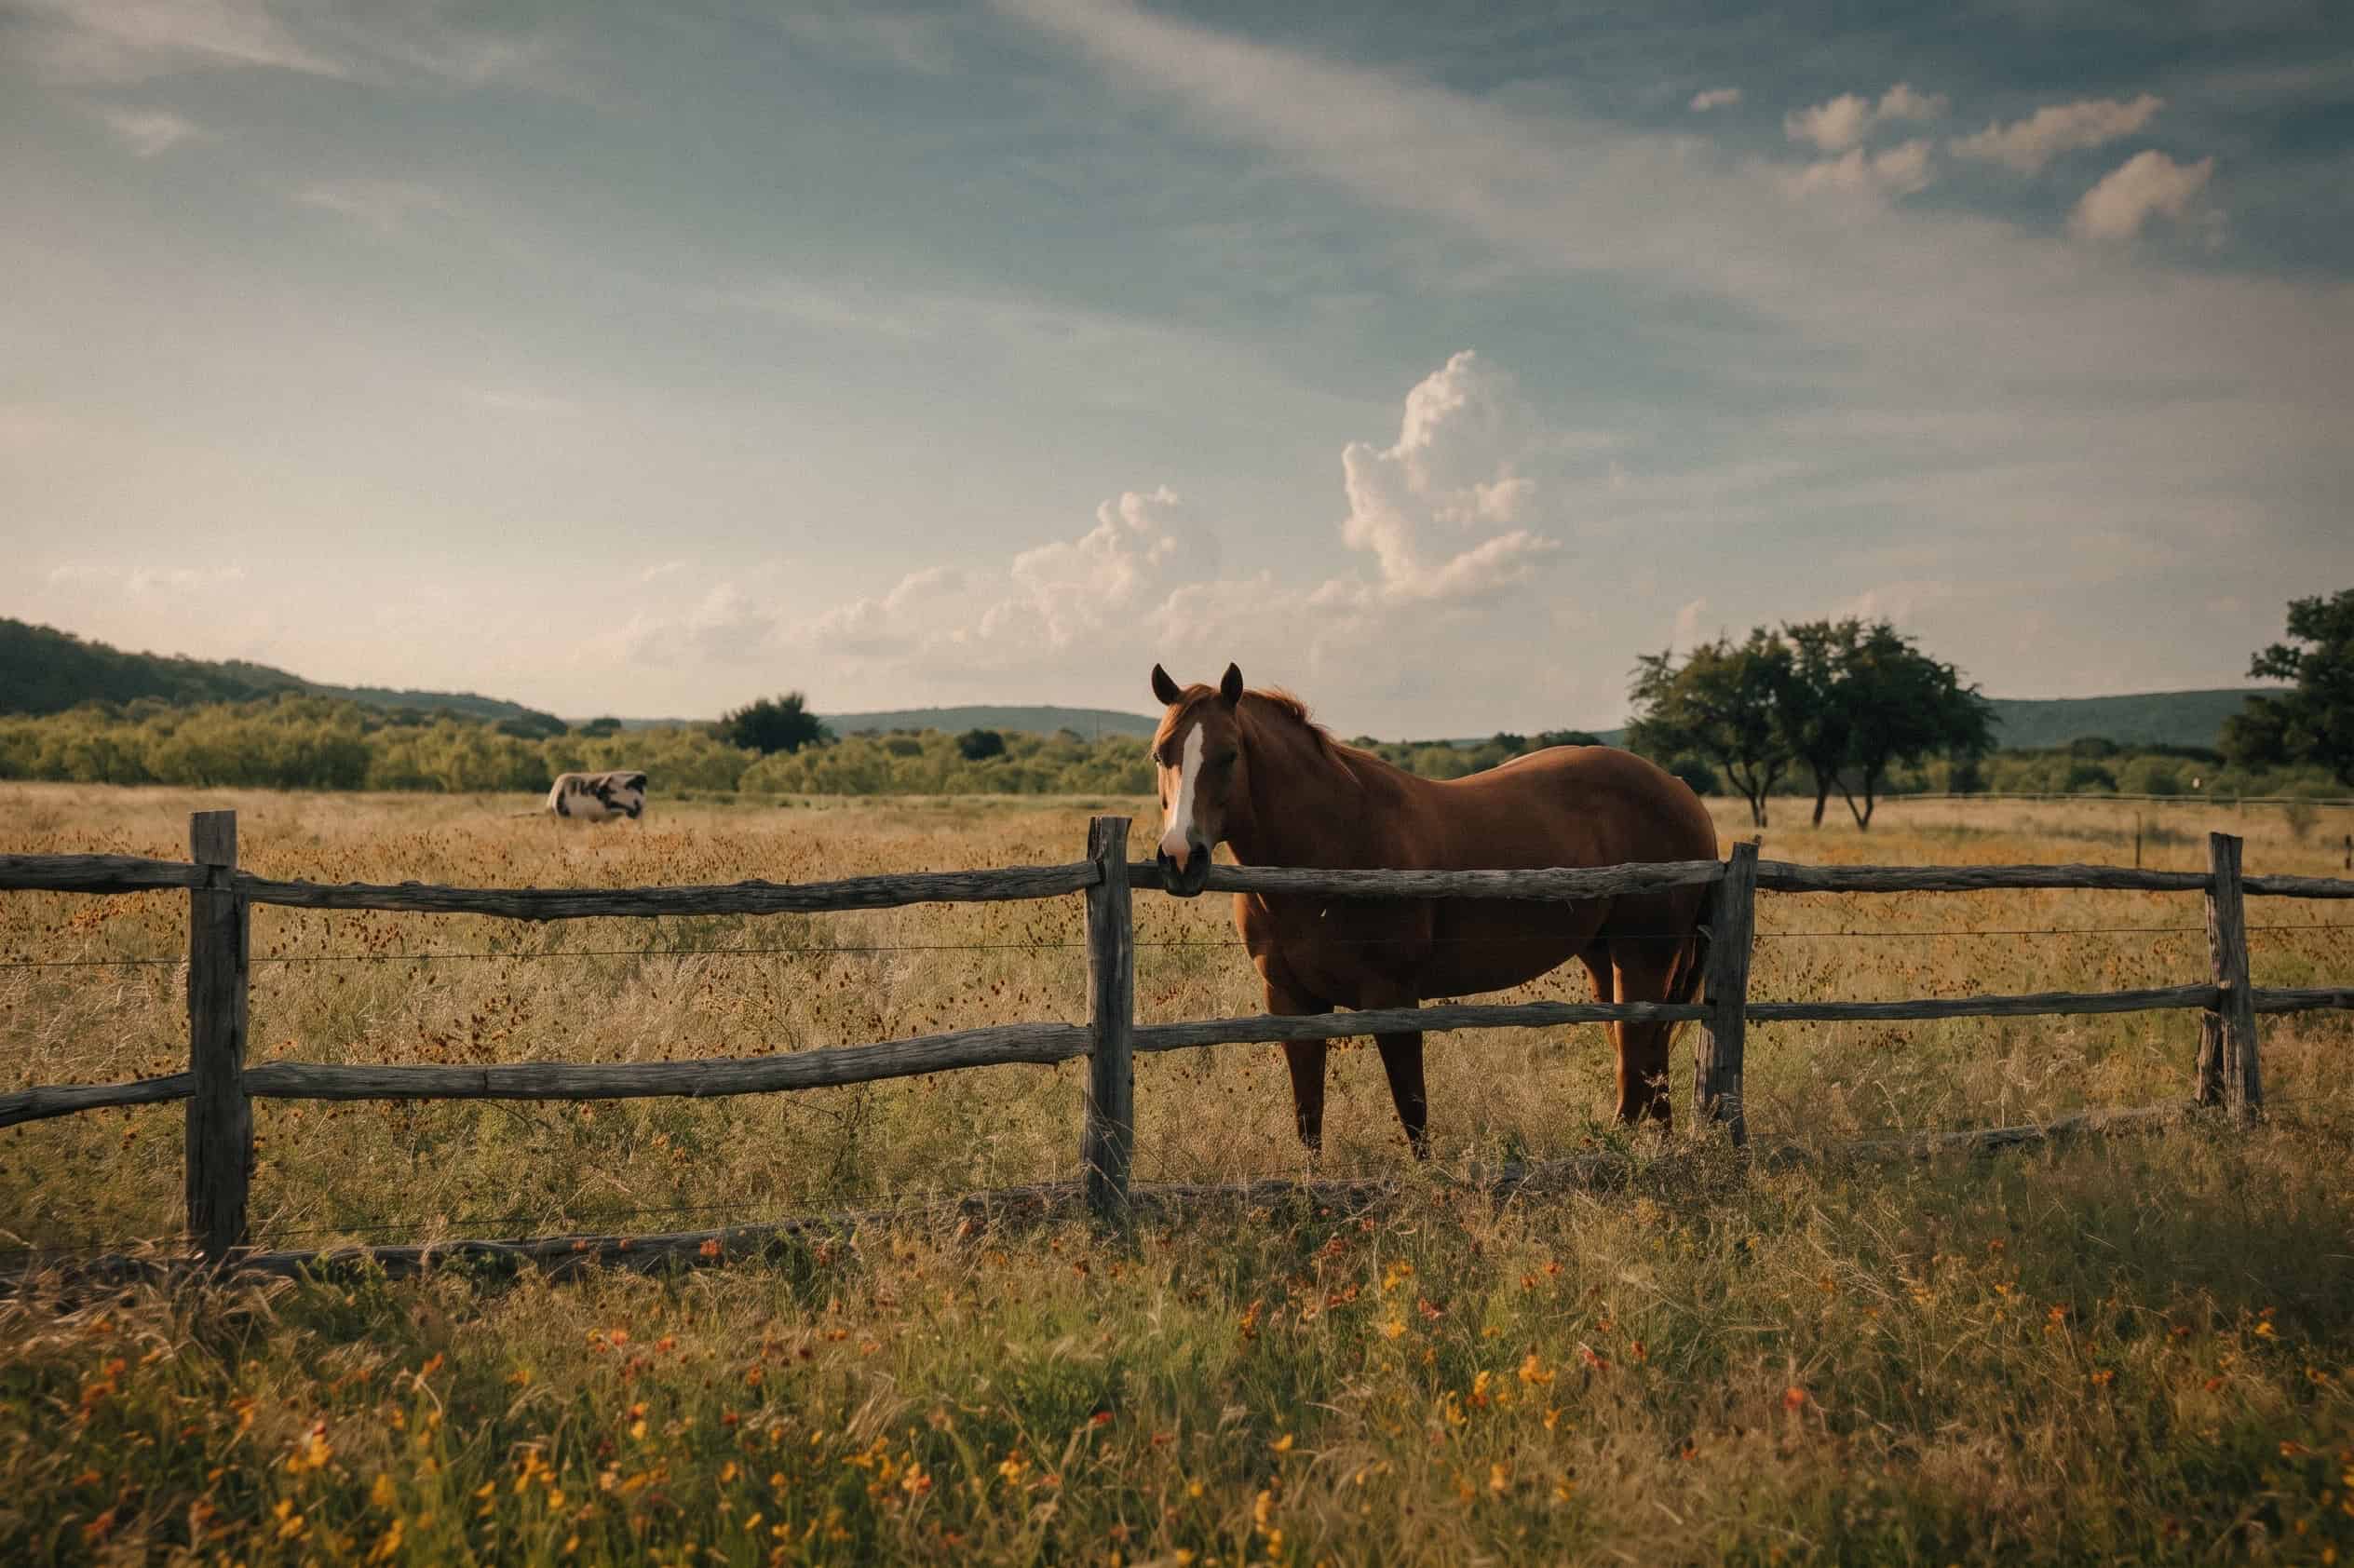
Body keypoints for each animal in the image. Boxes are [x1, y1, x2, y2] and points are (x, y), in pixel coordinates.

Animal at [1147, 662, 1719, 1156]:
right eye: (1160, 754)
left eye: (1228, 754)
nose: (1180, 857)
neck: (1335, 842)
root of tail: (1680, 790)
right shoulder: (1291, 1001)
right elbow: (1308, 1118)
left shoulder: (1392, 997)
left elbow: (1413, 1112)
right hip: (1605, 960)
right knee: (1649, 1067)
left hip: (1641, 958)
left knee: (1638, 1066)